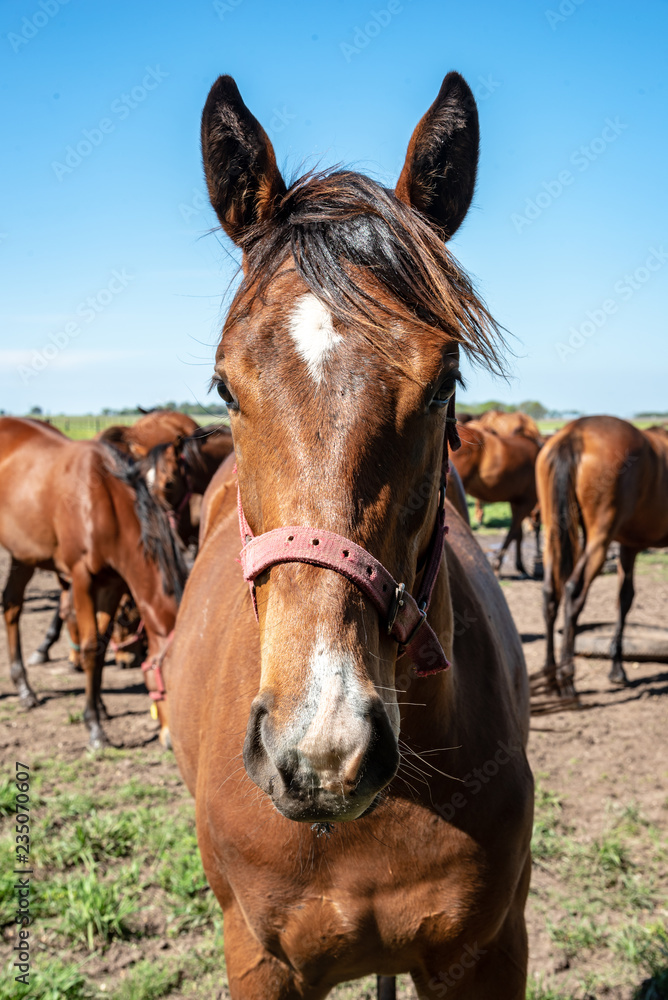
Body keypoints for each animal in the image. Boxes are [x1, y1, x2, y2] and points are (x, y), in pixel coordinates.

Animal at [0, 417, 187, 747]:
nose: (170, 741)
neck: (103, 501)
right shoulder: (81, 578)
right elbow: (88, 648)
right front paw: (95, 727)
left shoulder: (112, 584)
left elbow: (100, 648)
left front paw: (99, 707)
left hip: (24, 554)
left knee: (11, 606)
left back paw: (24, 689)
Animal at [450, 420, 541, 577]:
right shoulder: (527, 502)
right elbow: (512, 533)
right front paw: (498, 565)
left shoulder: (515, 502)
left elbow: (518, 535)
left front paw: (520, 566)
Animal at [536, 415, 668, 696]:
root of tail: (574, 432)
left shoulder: (629, 546)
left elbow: (624, 599)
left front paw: (617, 667)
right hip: (599, 539)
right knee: (574, 591)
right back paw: (567, 679)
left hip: (553, 534)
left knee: (550, 593)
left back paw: (551, 678)